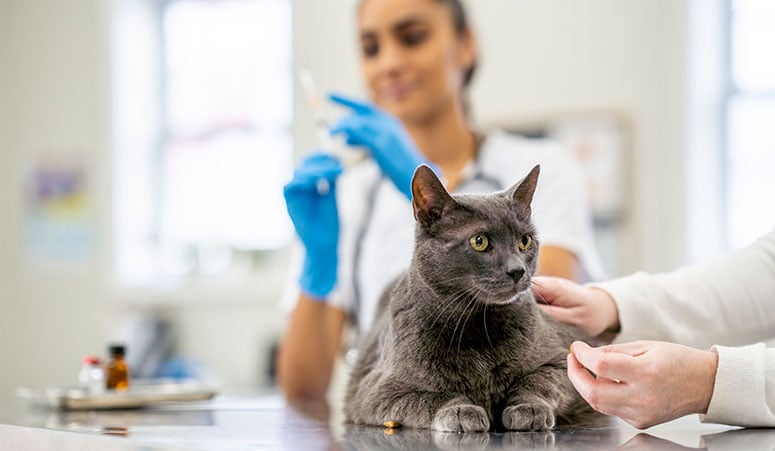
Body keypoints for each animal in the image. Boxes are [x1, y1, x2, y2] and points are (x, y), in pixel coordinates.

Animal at [348, 164, 600, 432]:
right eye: (479, 241)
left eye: (525, 241)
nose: (517, 270)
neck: (478, 323)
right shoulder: (375, 392)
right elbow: (430, 396)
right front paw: (460, 410)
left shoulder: (561, 361)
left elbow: (539, 381)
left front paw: (529, 408)